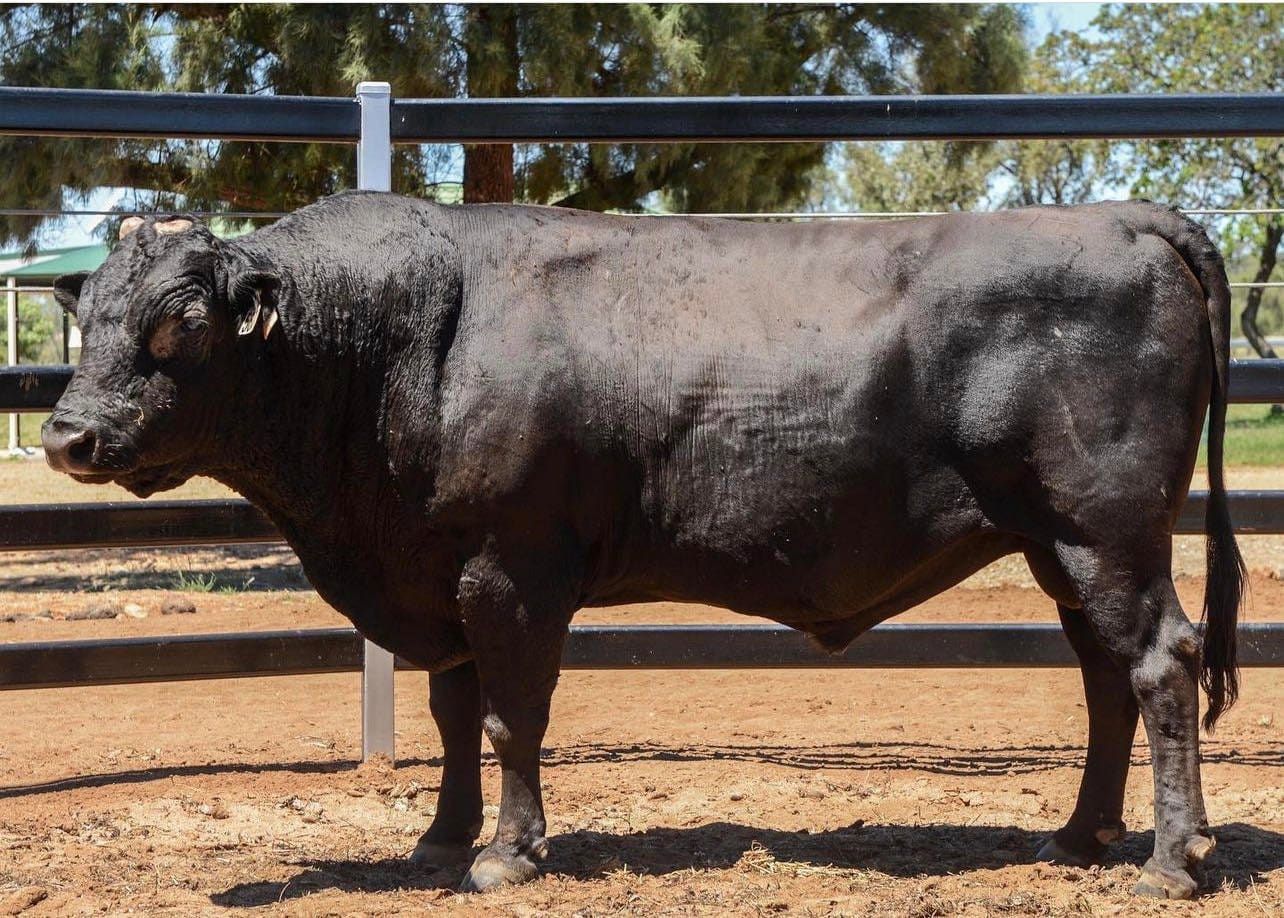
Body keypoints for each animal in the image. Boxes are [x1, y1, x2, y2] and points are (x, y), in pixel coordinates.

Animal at [43, 193, 1242, 899]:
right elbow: (451, 714)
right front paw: (440, 837)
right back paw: (1079, 837)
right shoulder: (442, 573)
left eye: (180, 324)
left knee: (1159, 663)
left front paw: (507, 855)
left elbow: (511, 718)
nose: (66, 436)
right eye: (84, 316)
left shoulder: (515, 569)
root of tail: (1128, 217)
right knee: (1102, 675)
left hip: (1108, 527)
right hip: (1058, 543)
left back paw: (1169, 861)